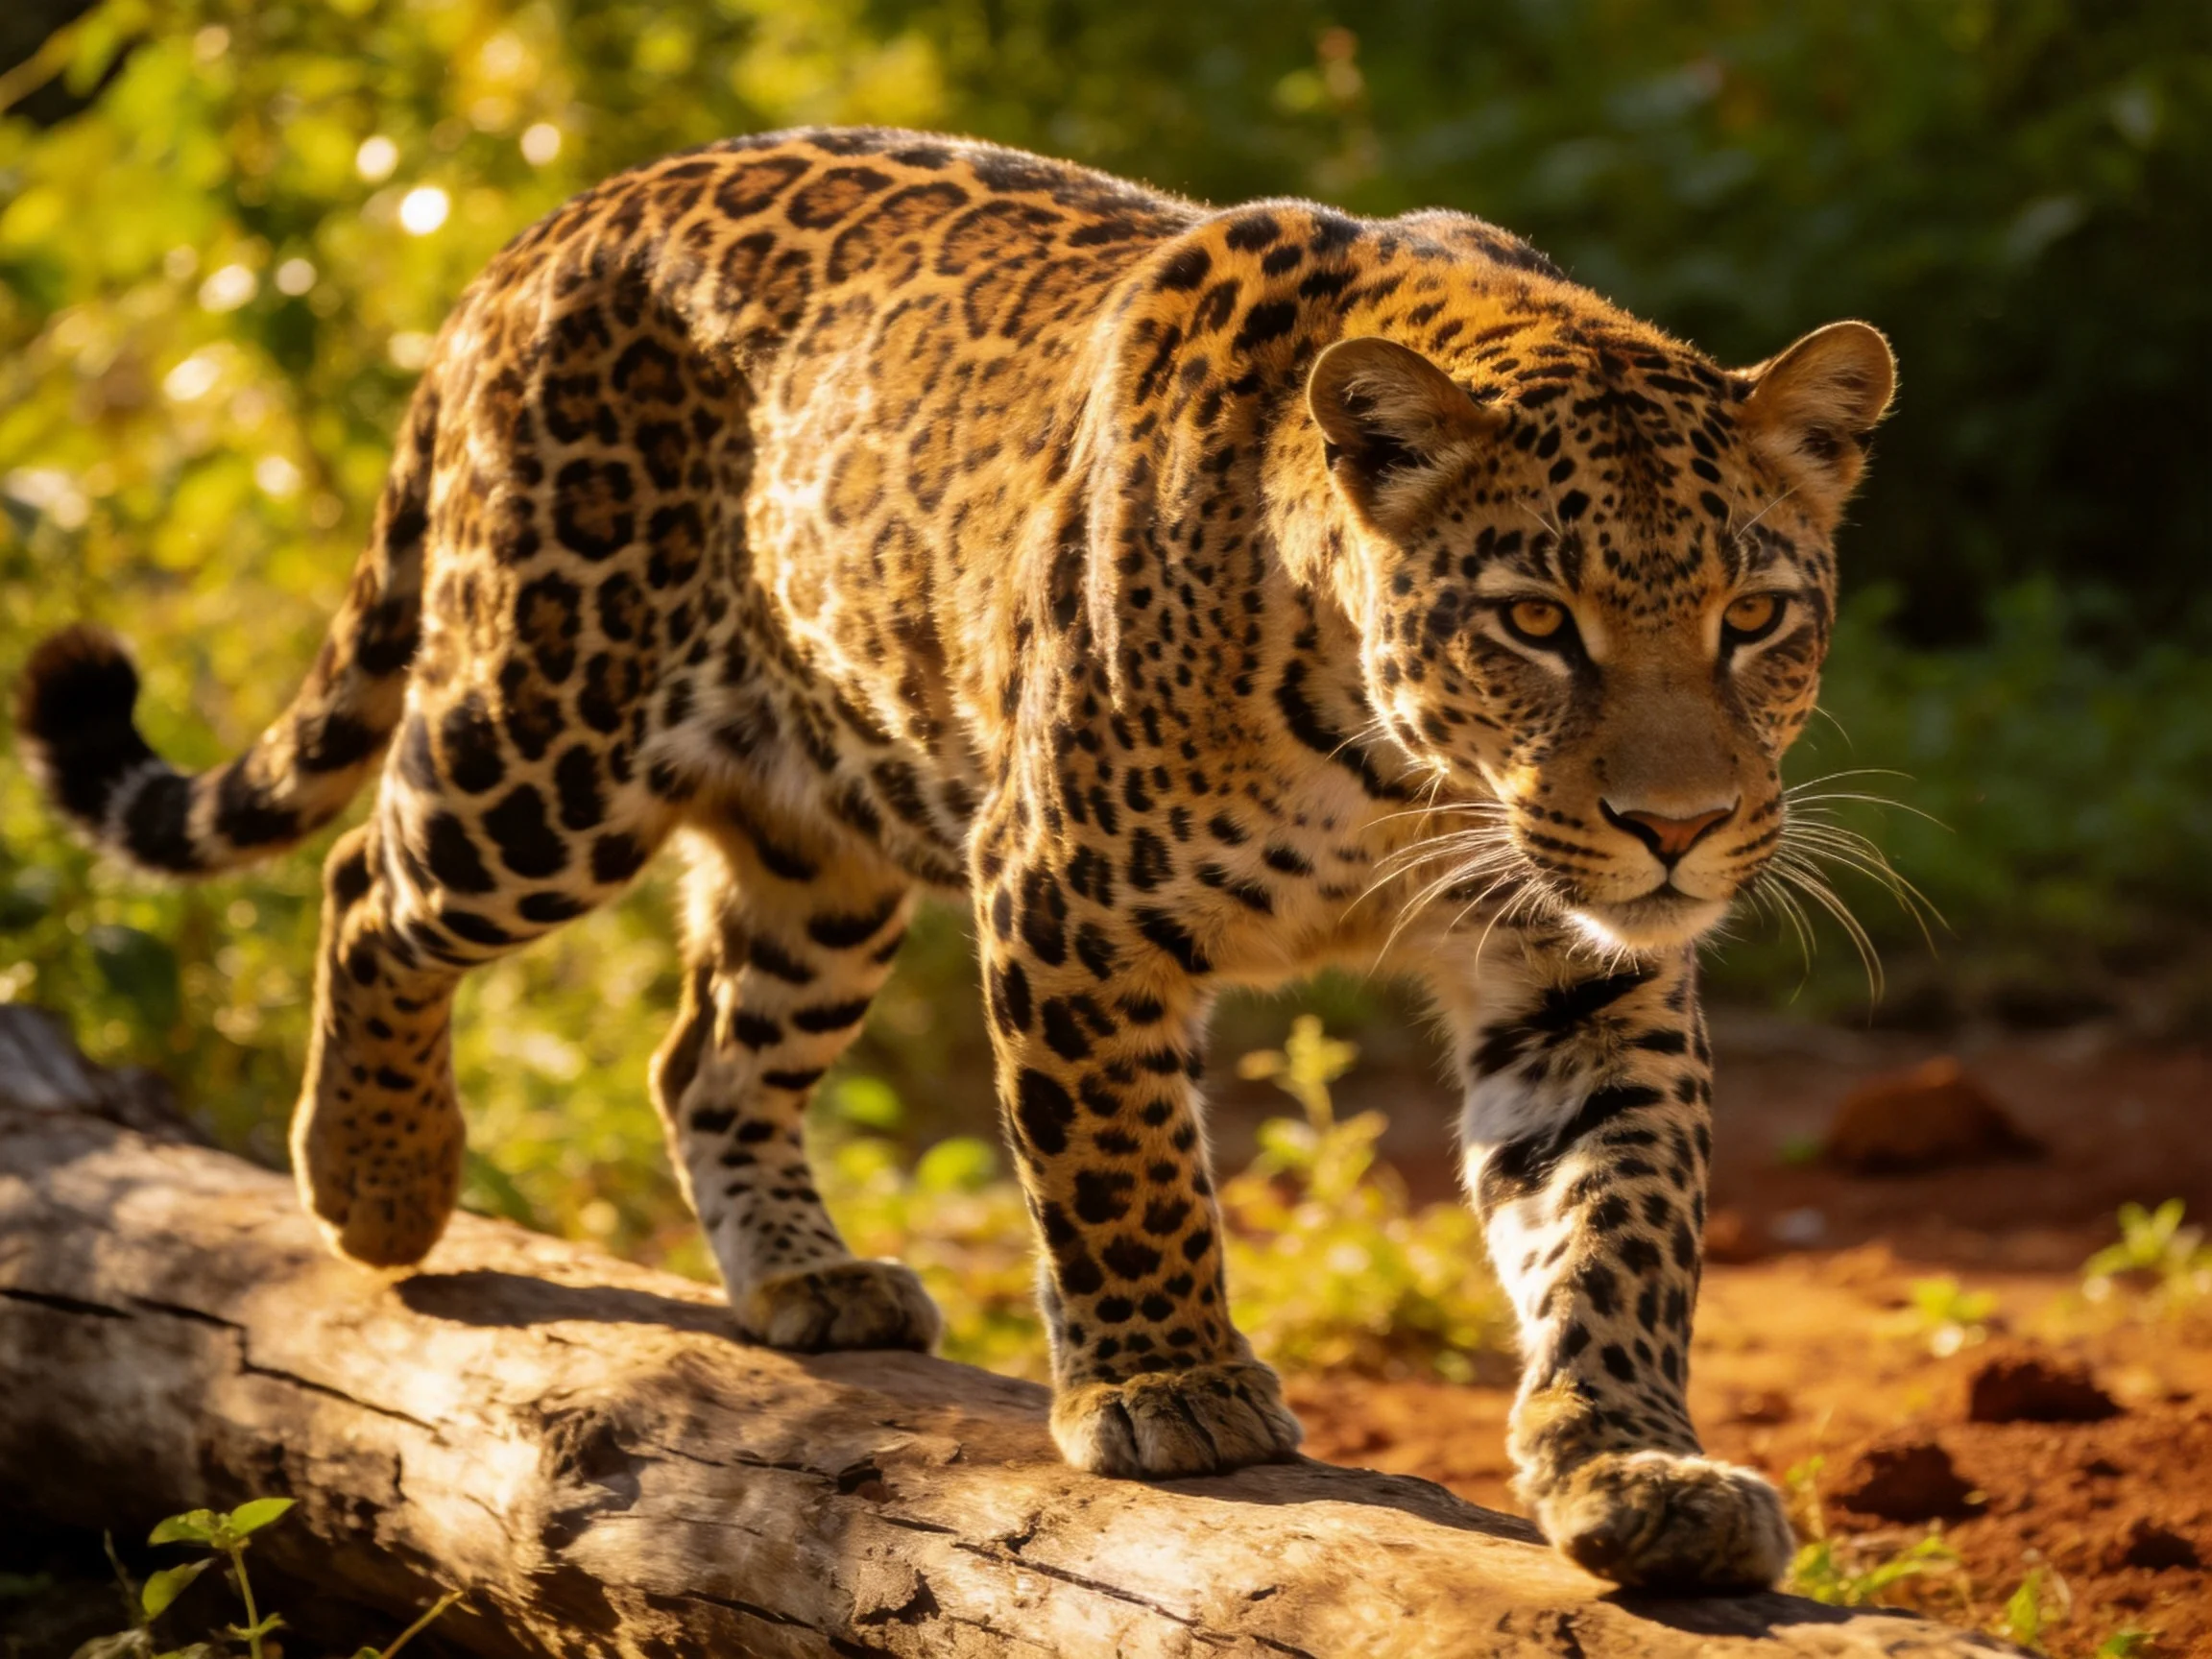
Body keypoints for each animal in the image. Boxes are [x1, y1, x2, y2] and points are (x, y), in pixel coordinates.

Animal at [16, 126, 1894, 1592]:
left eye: (1751, 617)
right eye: (1532, 623)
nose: (1675, 827)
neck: (1402, 772)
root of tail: (567, 217)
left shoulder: (1578, 969)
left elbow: (1618, 1222)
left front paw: (1631, 1467)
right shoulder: (1071, 892)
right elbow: (1124, 1165)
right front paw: (1167, 1388)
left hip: (821, 846)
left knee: (703, 1054)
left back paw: (806, 1276)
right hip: (545, 736)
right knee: (373, 889)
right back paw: (379, 1177)